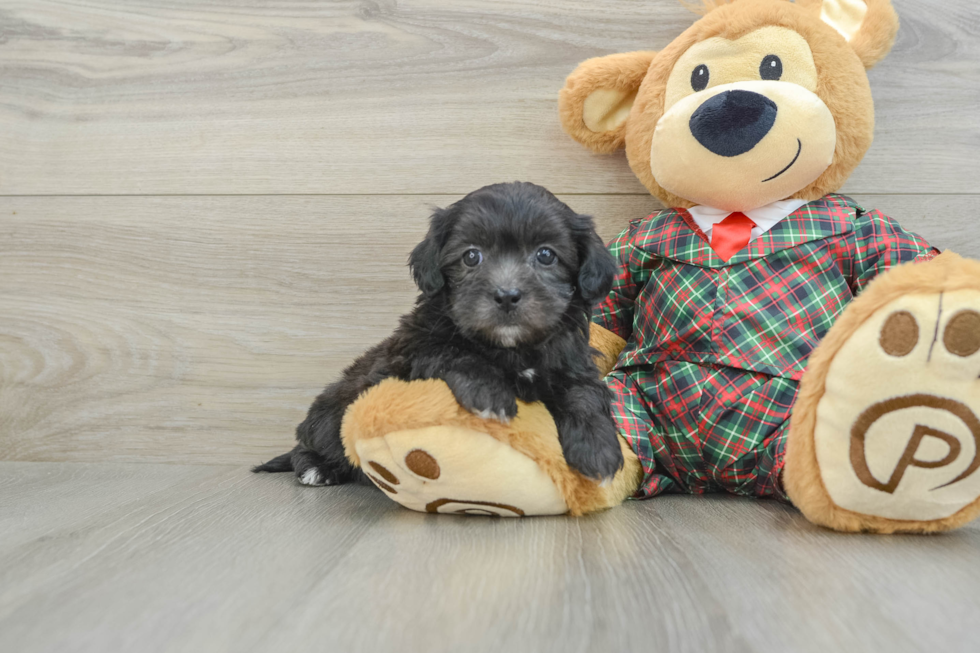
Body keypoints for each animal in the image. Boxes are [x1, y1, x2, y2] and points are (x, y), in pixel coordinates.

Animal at [253, 181, 620, 486]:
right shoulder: (415, 347)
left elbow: (584, 393)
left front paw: (598, 449)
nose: (506, 295)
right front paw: (490, 394)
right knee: (311, 444)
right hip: (333, 411)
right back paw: (318, 468)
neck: (511, 347)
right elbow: (456, 353)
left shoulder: (572, 359)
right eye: (471, 256)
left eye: (546, 255)